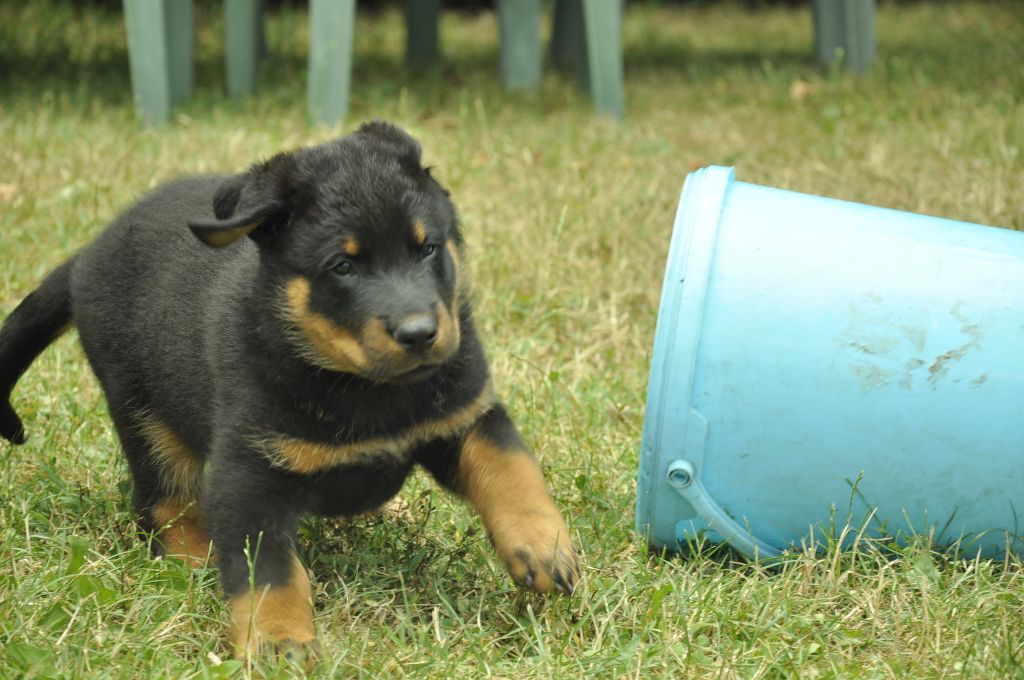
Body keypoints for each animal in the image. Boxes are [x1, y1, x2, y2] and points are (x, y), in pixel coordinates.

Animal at [0, 120, 577, 659]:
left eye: (428, 248)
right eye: (342, 266)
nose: (419, 334)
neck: (366, 386)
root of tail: (87, 254)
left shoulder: (464, 413)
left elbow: (511, 469)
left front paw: (542, 545)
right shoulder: (250, 474)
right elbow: (269, 572)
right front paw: (280, 641)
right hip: (142, 409)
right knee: (162, 501)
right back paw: (194, 563)